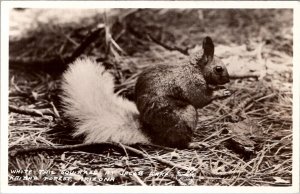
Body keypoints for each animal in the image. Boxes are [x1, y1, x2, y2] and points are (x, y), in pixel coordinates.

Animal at [59, 36, 231, 149]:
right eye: (219, 69)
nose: (228, 80)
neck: (195, 69)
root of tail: (153, 133)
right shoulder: (191, 83)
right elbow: (200, 98)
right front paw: (220, 93)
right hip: (184, 115)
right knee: (179, 143)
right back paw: (195, 143)